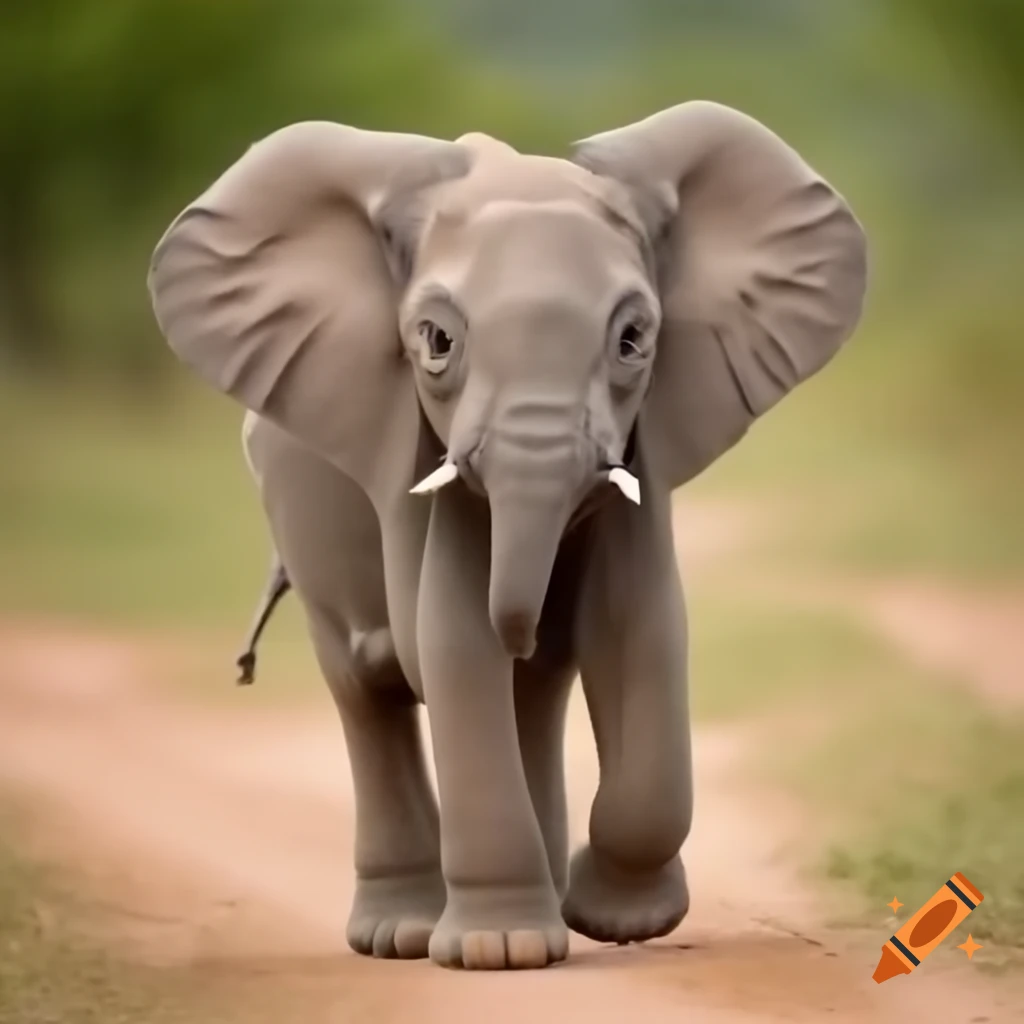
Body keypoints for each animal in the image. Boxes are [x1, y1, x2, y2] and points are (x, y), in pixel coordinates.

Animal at [148, 100, 867, 970]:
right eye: (435, 341)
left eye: (634, 340)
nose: (526, 619)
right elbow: (452, 640)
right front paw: (503, 952)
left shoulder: (645, 458)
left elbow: (638, 632)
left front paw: (617, 923)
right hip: (294, 515)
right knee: (364, 687)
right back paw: (403, 934)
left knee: (532, 690)